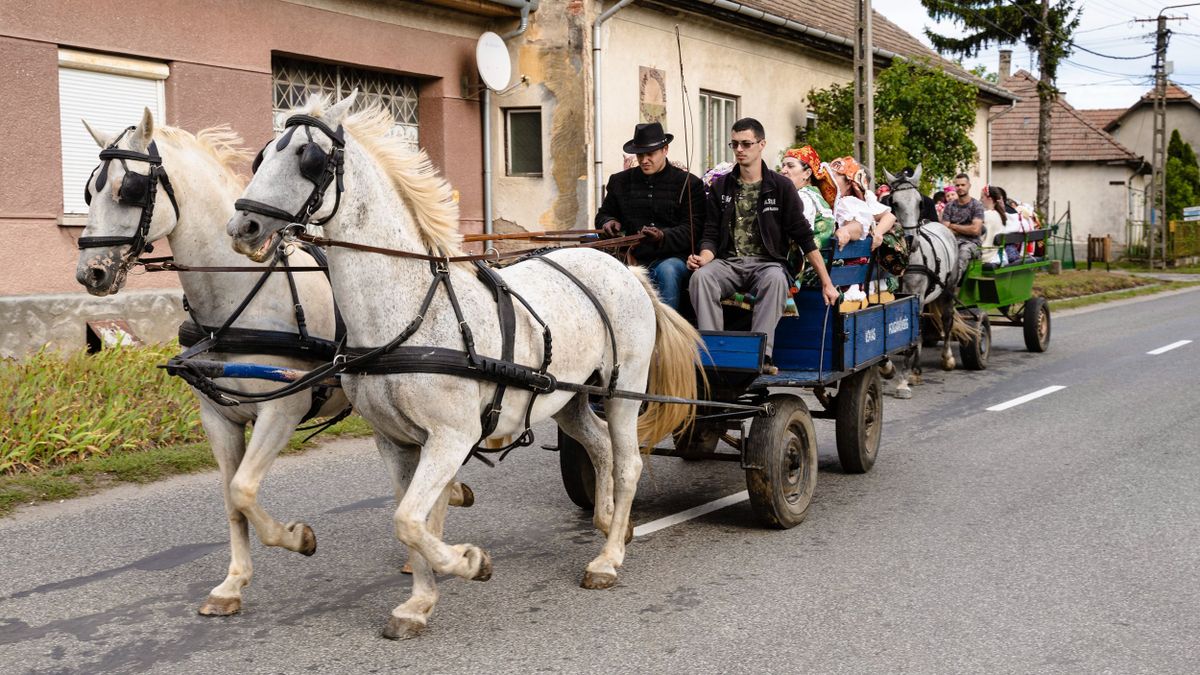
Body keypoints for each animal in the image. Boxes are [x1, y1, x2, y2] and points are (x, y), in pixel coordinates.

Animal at [73, 109, 468, 614]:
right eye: (90, 190)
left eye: (131, 189)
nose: (91, 273)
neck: (240, 298)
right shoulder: (218, 417)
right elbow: (231, 498)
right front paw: (232, 583)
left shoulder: (282, 410)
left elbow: (244, 488)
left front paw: (297, 538)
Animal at [225, 93, 700, 634]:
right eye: (264, 155)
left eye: (309, 158)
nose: (243, 227)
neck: (411, 313)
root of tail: (624, 267)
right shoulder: (396, 442)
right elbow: (410, 519)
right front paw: (419, 602)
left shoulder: (452, 436)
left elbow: (410, 519)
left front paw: (469, 562)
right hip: (568, 396)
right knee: (598, 447)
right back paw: (604, 523)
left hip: (624, 391)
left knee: (628, 463)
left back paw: (609, 557)